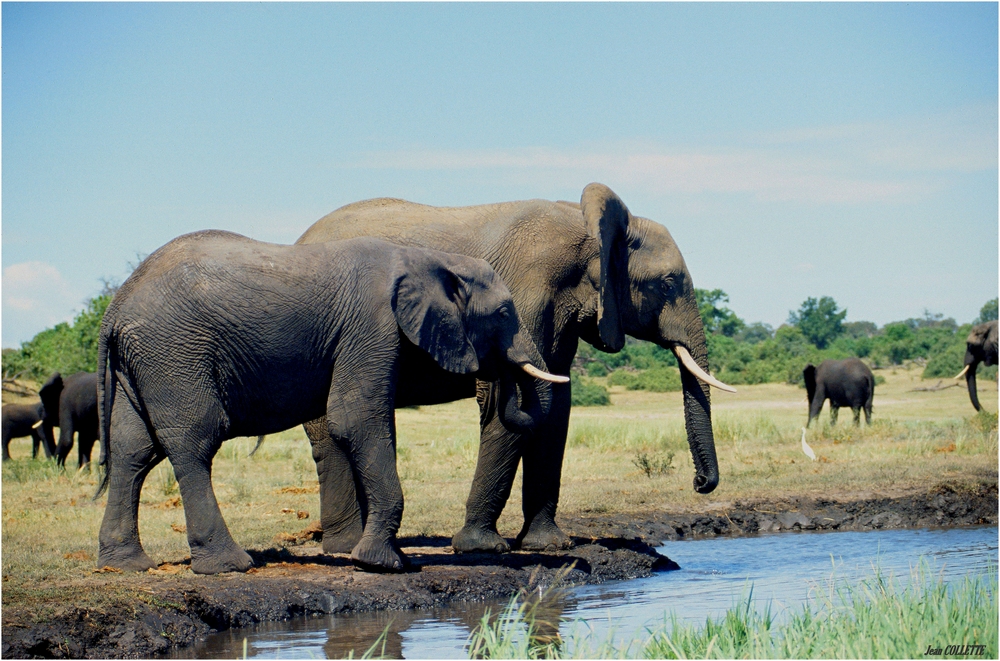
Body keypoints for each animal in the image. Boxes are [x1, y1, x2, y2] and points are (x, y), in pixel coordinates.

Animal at [94, 231, 564, 572]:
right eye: (503, 313)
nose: (500, 383)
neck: (425, 257)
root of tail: (114, 308)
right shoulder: (372, 326)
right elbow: (355, 421)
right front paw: (382, 564)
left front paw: (384, 557)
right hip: (174, 354)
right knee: (195, 442)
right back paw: (229, 566)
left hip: (144, 362)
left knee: (132, 450)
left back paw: (126, 566)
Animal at [294, 182, 736, 556]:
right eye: (667, 284)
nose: (699, 483)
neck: (585, 227)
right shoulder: (523, 293)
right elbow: (511, 402)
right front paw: (482, 548)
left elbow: (556, 407)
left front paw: (549, 546)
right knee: (332, 436)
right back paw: (344, 548)